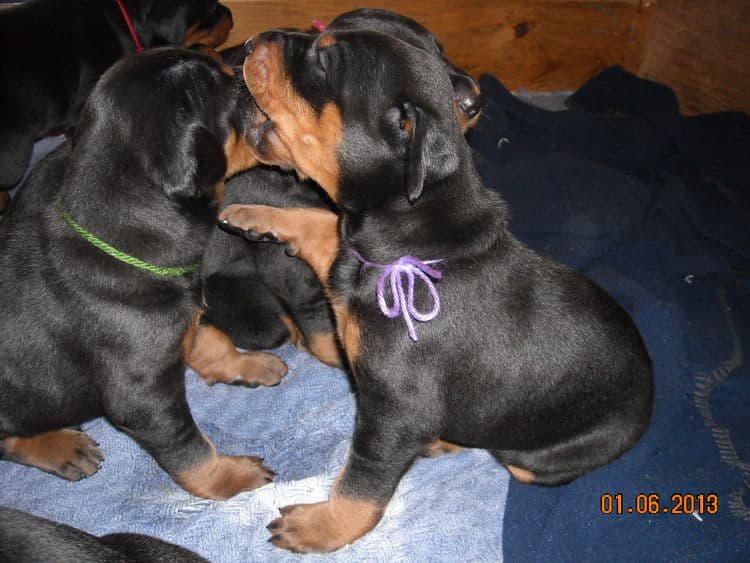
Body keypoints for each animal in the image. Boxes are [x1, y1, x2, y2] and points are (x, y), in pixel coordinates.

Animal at [0, 47, 282, 498]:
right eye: (229, 89)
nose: (247, 61)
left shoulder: (179, 319)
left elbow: (210, 340)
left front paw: (252, 365)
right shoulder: (143, 395)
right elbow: (190, 451)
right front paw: (232, 476)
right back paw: (62, 448)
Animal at [220, 28, 656, 552]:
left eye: (325, 61)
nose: (249, 42)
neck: (411, 233)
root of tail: (651, 397)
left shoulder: (394, 410)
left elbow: (362, 483)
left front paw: (319, 526)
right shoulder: (351, 256)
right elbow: (322, 222)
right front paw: (251, 213)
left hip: (551, 453)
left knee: (507, 453)